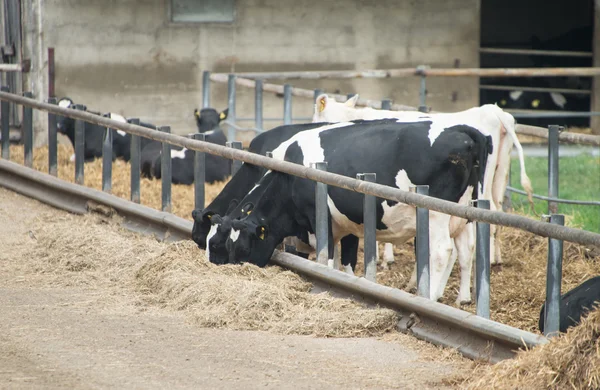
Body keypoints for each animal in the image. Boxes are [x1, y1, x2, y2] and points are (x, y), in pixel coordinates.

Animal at [225, 119, 492, 302]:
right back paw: (461, 298)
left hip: (436, 212)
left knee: (441, 251)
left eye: (241, 247)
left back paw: (430, 297)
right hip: (463, 212)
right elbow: (344, 260)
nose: (230, 270)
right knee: (464, 249)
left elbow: (327, 256)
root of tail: (462, 130)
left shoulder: (319, 218)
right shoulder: (344, 224)